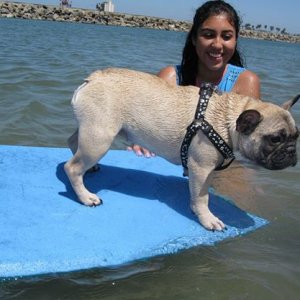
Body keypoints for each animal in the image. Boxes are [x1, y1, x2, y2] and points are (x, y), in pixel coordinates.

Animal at [63, 68, 298, 232]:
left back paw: (89, 170)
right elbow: (202, 198)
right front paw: (208, 219)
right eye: (275, 139)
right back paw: (86, 197)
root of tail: (93, 79)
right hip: (99, 139)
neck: (228, 120)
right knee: (71, 168)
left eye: (296, 136)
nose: (292, 151)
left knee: (73, 142)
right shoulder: (202, 169)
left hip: (91, 132)